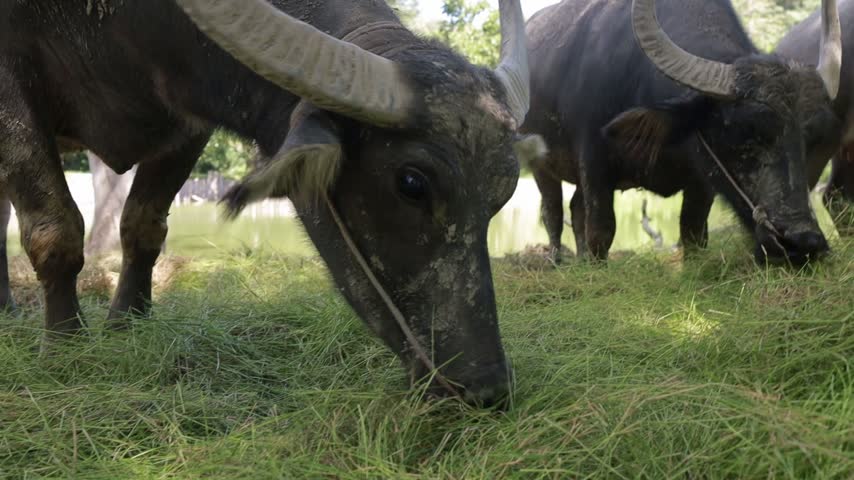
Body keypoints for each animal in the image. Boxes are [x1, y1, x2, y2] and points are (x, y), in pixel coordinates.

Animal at [0, 0, 536, 406]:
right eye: (411, 183)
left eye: (504, 189)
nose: (486, 387)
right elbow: (56, 231)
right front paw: (65, 346)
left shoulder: (189, 123)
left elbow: (143, 227)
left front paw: (126, 323)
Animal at [522, 0, 842, 263]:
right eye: (742, 131)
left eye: (812, 139)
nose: (803, 243)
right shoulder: (594, 162)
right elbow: (601, 231)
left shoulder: (702, 178)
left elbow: (693, 232)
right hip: (541, 166)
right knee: (553, 212)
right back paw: (557, 260)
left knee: (575, 208)